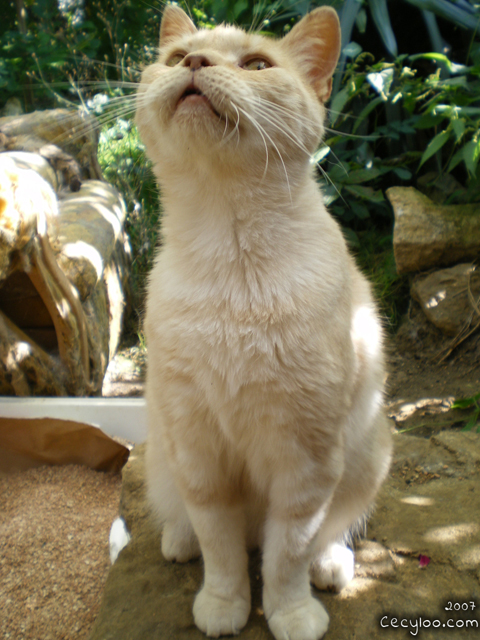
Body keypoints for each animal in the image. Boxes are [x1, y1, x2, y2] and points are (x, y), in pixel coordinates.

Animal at [137, 6, 392, 640]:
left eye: (255, 66)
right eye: (177, 59)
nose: (195, 63)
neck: (231, 258)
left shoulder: (305, 462)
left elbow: (287, 555)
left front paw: (292, 615)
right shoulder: (200, 453)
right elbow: (223, 551)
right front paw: (223, 608)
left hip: (368, 455)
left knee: (326, 536)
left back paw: (332, 568)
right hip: (161, 452)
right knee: (190, 525)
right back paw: (177, 542)